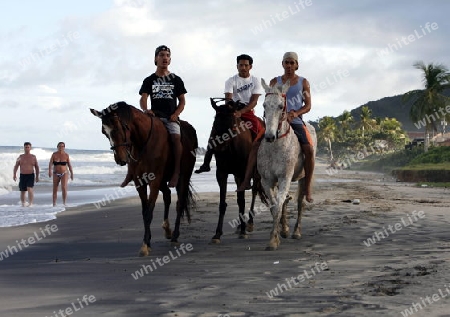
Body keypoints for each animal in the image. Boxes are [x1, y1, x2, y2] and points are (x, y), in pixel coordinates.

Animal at [90, 102, 197, 256]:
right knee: (167, 195)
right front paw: (148, 241)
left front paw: (145, 244)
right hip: (163, 180)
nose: (120, 159)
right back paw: (167, 229)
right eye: (104, 132)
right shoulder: (139, 182)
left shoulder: (154, 180)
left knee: (180, 203)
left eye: (119, 128)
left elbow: (148, 212)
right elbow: (144, 211)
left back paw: (175, 236)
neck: (143, 141)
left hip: (183, 177)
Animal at [208, 98, 268, 242]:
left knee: (254, 191)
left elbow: (241, 201)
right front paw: (217, 234)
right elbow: (222, 203)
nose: (219, 149)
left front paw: (243, 231)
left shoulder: (242, 173)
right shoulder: (222, 173)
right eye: (215, 123)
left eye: (233, 126)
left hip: (255, 173)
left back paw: (249, 223)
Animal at [258, 78, 318, 249]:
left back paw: (296, 231)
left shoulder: (285, 177)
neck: (276, 147)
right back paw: (284, 229)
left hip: (303, 177)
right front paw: (277, 235)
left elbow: (278, 206)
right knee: (285, 200)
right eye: (264, 105)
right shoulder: (267, 181)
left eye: (280, 106)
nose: (269, 136)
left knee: (300, 203)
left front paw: (273, 240)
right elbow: (274, 207)